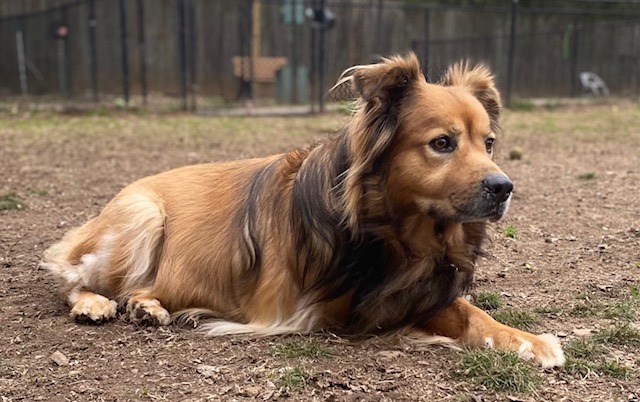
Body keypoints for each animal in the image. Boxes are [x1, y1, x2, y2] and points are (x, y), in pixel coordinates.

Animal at [42, 52, 564, 368]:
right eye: (442, 143)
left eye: (488, 142)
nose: (504, 187)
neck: (391, 230)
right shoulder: (326, 307)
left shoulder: (415, 287)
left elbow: (469, 312)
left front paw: (529, 340)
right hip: (143, 214)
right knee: (72, 278)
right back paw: (96, 303)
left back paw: (147, 306)